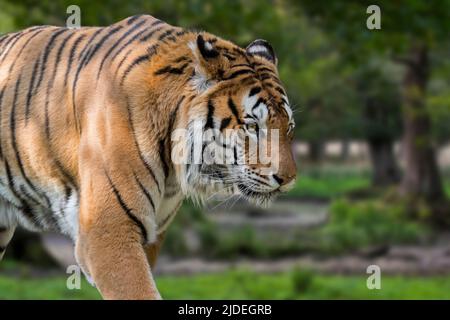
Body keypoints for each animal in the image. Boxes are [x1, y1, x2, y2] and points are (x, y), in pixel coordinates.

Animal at [0, 14, 298, 300]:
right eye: (252, 127)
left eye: (289, 128)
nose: (288, 179)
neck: (173, 167)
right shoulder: (108, 231)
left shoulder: (151, 235)